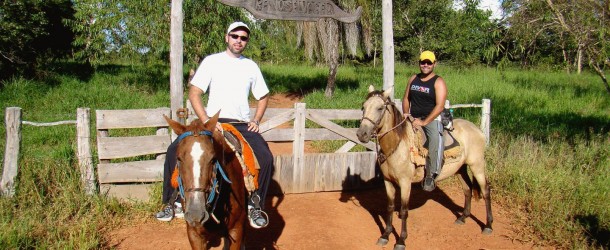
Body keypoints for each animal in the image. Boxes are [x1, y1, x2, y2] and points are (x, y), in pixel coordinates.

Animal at [354, 85, 492, 249]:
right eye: (363, 107)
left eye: (380, 108)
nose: (362, 134)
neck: (397, 145)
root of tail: (477, 130)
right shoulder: (388, 182)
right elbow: (390, 207)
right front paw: (385, 235)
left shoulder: (405, 183)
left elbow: (404, 210)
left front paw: (401, 240)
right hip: (460, 169)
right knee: (467, 189)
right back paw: (463, 217)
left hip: (477, 166)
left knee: (486, 191)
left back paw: (488, 225)